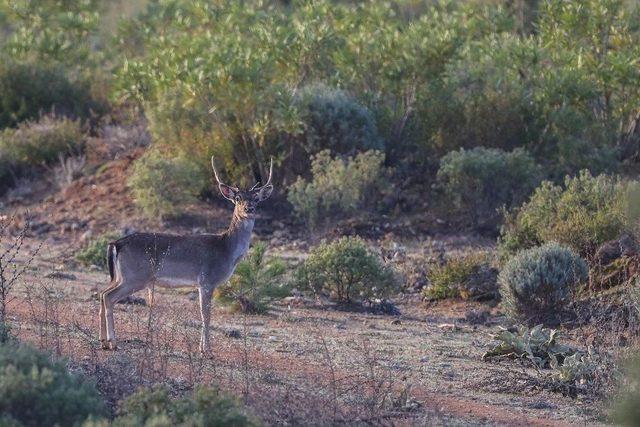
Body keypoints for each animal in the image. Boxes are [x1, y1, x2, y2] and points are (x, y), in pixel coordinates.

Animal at [99, 157, 274, 354]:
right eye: (237, 198)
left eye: (256, 199)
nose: (249, 208)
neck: (226, 250)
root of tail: (116, 244)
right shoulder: (207, 280)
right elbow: (206, 315)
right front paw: (207, 351)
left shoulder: (200, 284)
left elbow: (203, 314)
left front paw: (201, 348)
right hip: (135, 276)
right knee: (108, 297)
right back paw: (113, 342)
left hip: (120, 276)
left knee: (102, 293)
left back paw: (103, 341)